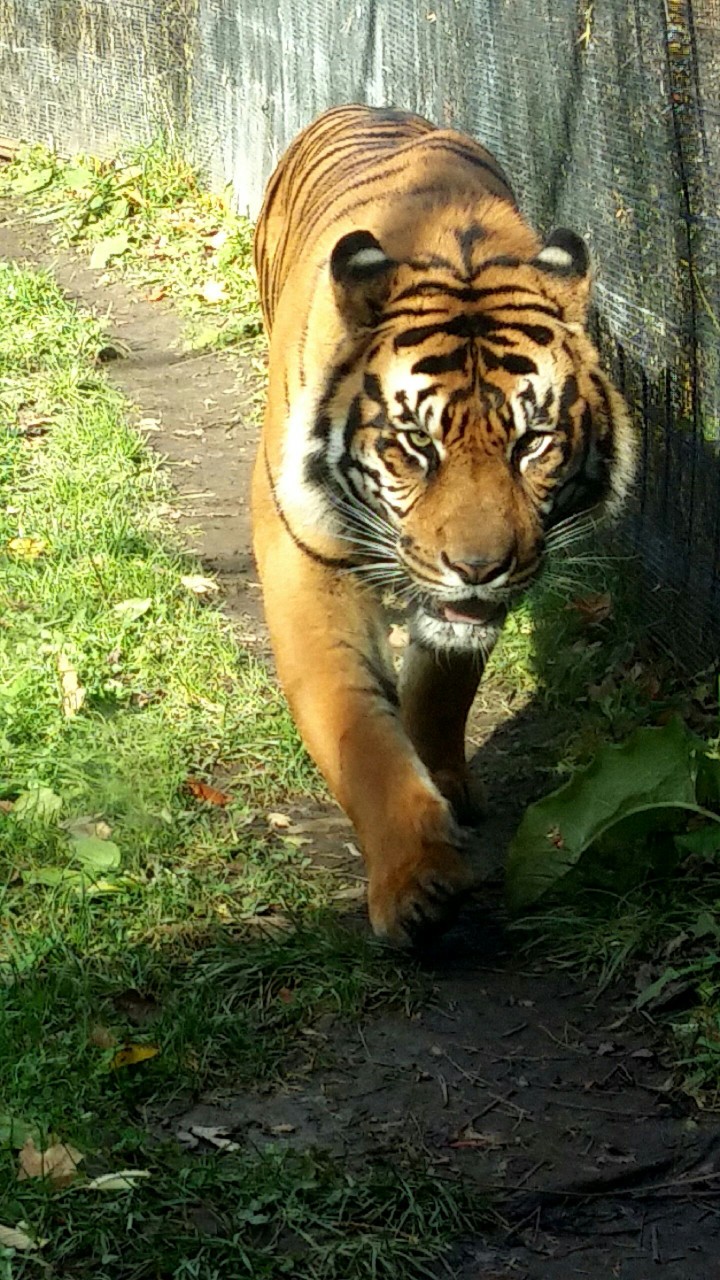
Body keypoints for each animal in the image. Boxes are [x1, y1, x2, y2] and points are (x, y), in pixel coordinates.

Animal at [252, 104, 636, 947]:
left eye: (532, 444)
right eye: (415, 446)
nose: (479, 565)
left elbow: (442, 688)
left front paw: (444, 785)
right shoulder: (306, 561)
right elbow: (356, 727)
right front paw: (415, 881)